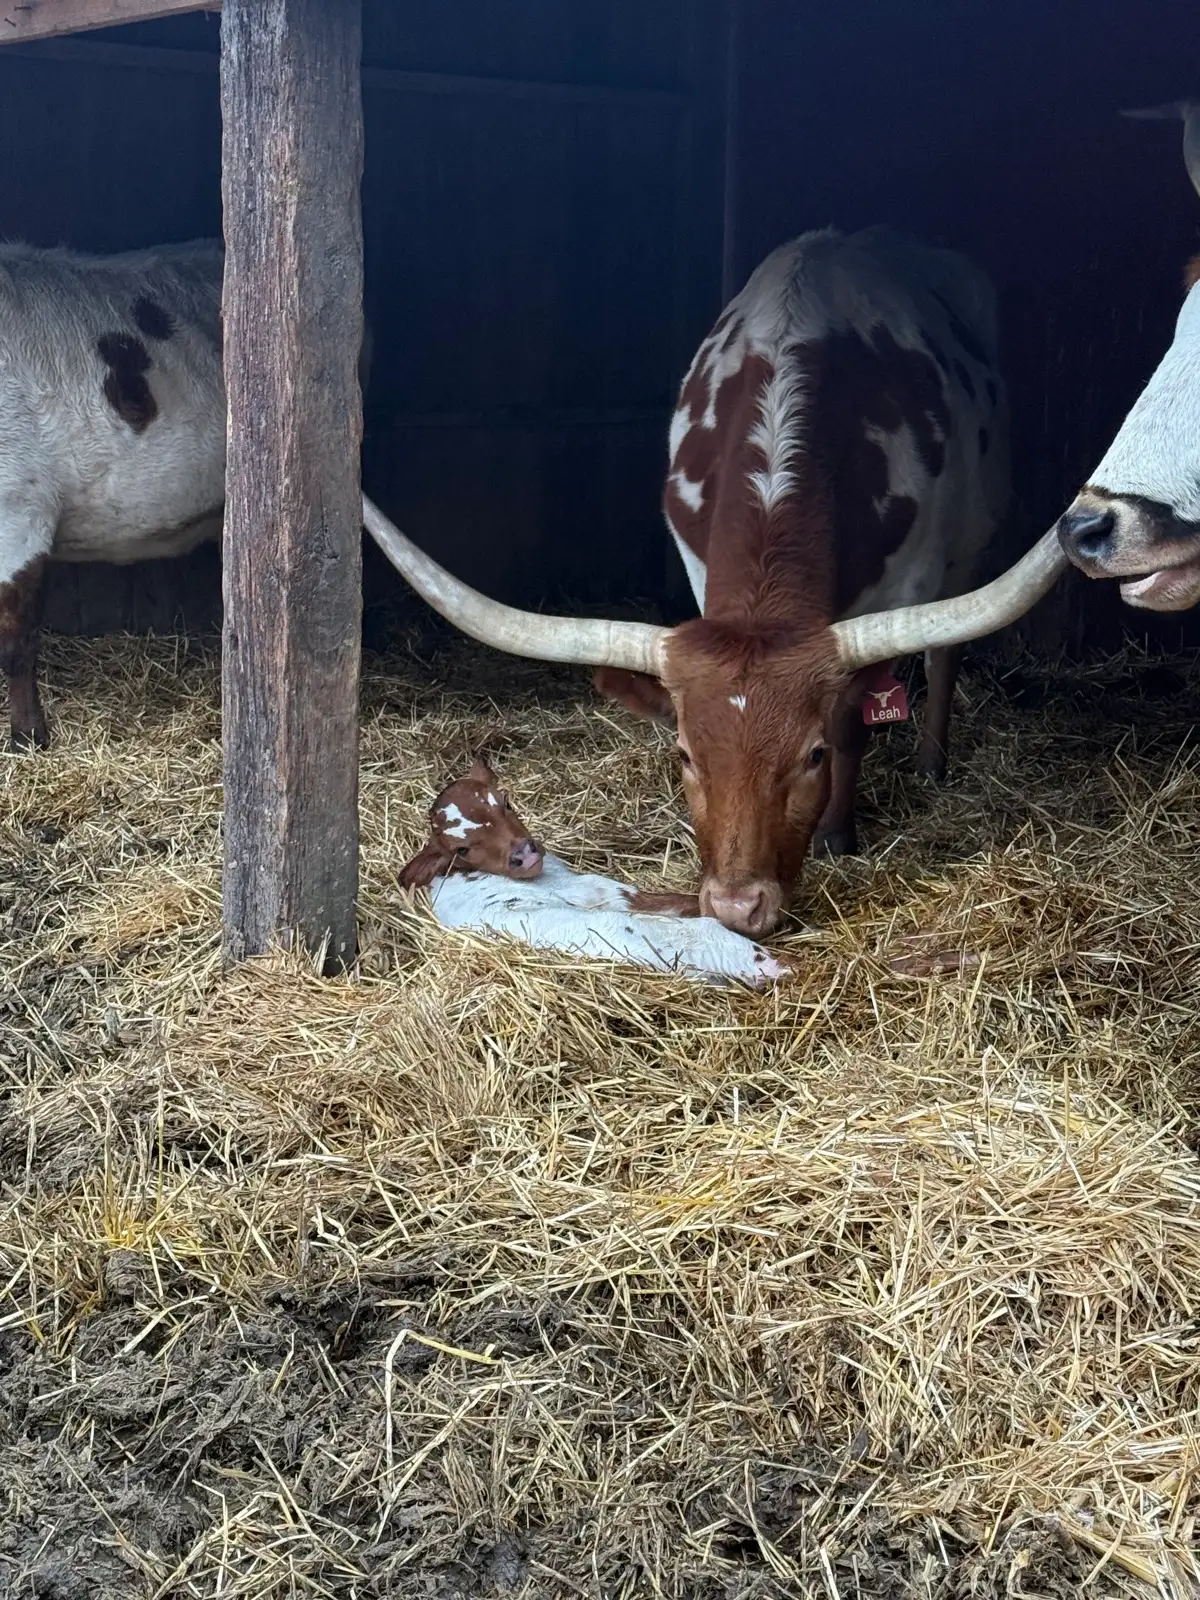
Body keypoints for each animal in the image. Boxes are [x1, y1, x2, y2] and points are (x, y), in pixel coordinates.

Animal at [363, 226, 1065, 937]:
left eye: (811, 757)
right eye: (685, 755)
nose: (735, 907)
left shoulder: (915, 579)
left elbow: (855, 719)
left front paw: (837, 834)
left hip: (969, 550)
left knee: (944, 656)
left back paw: (930, 764)